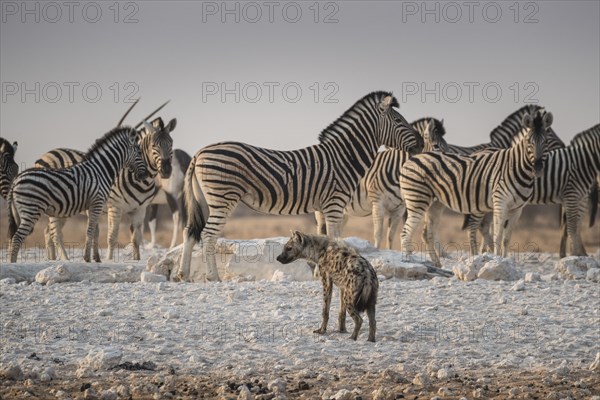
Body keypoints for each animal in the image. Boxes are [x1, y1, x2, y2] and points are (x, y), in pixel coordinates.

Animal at [8, 127, 149, 262]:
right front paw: (87, 258)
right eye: (139, 152)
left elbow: (95, 232)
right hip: (31, 210)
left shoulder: (94, 206)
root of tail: (16, 180)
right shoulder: (97, 202)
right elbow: (90, 231)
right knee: (18, 238)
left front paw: (96, 258)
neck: (100, 170)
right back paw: (13, 263)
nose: (145, 175)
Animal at [37, 116, 176, 260]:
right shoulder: (115, 207)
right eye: (154, 145)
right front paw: (109, 260)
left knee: (48, 231)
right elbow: (112, 237)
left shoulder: (140, 209)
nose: (166, 170)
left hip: (61, 208)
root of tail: (47, 153)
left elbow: (136, 239)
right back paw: (66, 259)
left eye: (171, 143)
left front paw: (136, 260)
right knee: (56, 234)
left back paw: (52, 259)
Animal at [180, 90, 424, 282]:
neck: (343, 158)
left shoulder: (324, 207)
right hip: (223, 197)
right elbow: (335, 240)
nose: (422, 143)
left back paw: (183, 275)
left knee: (189, 231)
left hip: (210, 198)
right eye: (399, 121)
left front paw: (319, 273)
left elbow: (324, 239)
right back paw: (213, 277)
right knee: (208, 234)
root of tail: (200, 151)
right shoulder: (335, 205)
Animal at [316, 115, 448, 248]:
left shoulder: (399, 209)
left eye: (446, 145)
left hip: (342, 211)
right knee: (321, 230)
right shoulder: (378, 203)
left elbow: (391, 236)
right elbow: (378, 233)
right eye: (436, 146)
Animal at [400, 109, 552, 266]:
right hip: (417, 200)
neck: (517, 167)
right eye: (529, 142)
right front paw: (497, 261)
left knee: (428, 233)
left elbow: (506, 238)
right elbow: (497, 236)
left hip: (435, 204)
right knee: (406, 232)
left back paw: (437, 264)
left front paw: (506, 262)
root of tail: (411, 159)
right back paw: (408, 261)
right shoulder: (500, 203)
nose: (538, 168)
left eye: (546, 142)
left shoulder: (517, 209)